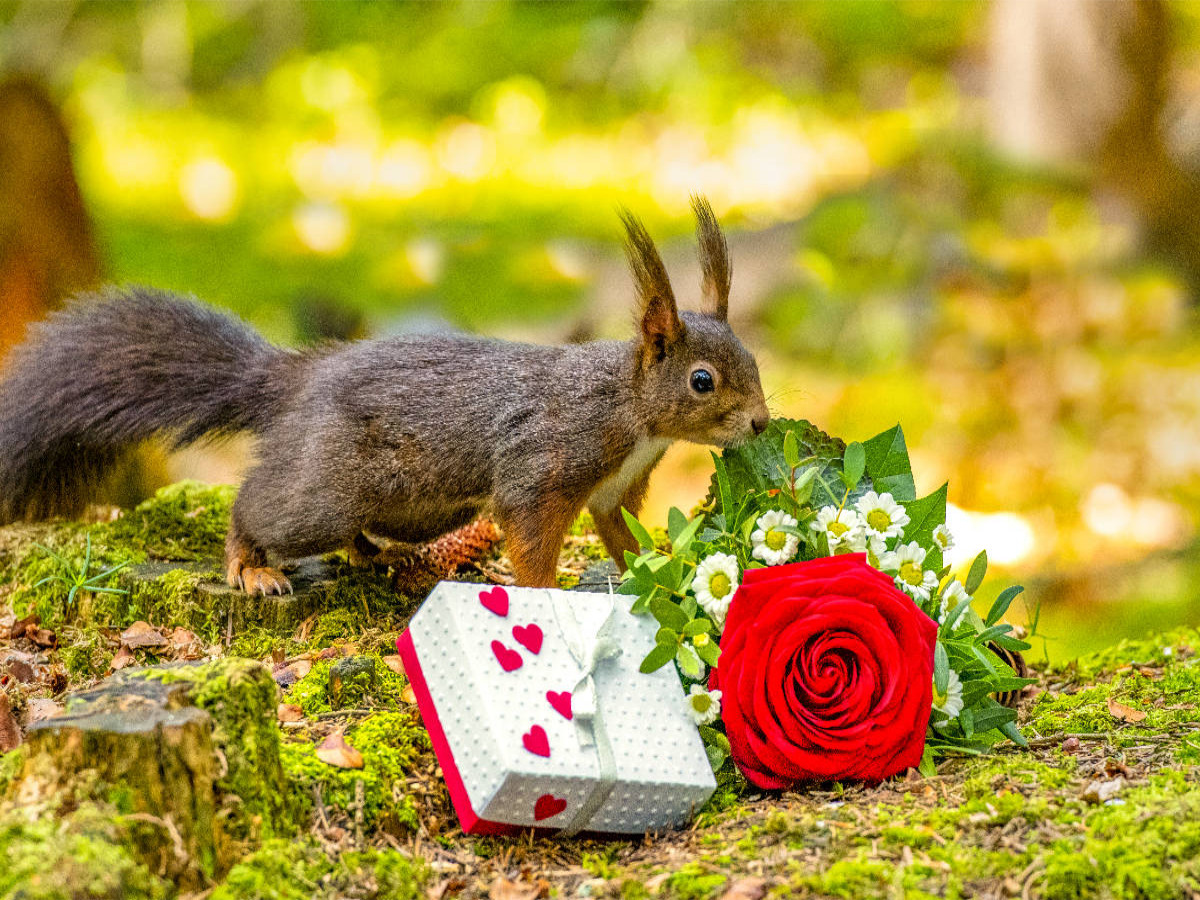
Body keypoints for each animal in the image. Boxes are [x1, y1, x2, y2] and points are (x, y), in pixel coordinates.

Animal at [0, 196, 769, 595]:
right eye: (702, 381)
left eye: (754, 362)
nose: (762, 424)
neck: (631, 410)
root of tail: (297, 379)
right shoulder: (543, 462)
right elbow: (530, 537)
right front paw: (547, 596)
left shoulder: (615, 490)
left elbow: (621, 535)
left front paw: (657, 569)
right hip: (326, 488)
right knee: (263, 506)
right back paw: (251, 566)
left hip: (419, 507)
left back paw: (371, 554)